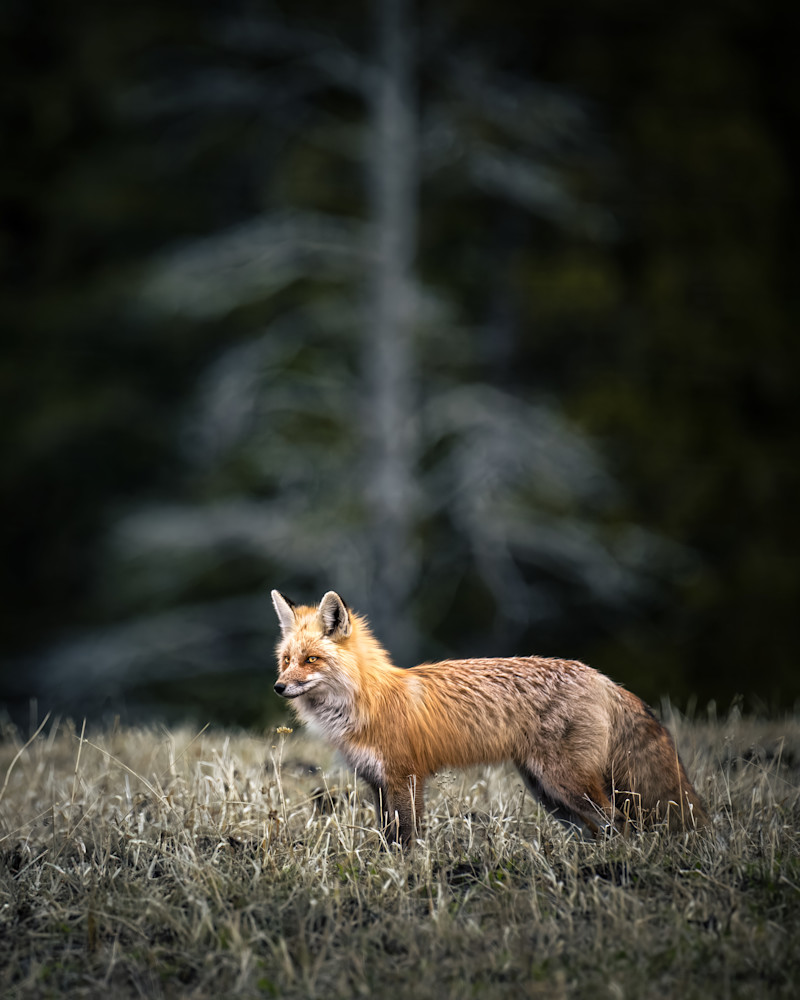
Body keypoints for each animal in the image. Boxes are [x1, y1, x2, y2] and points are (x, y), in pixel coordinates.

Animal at [271, 589, 709, 845]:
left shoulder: (404, 777)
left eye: (312, 660)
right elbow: (388, 835)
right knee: (601, 827)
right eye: (287, 660)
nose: (278, 687)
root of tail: (600, 676)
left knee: (616, 822)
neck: (367, 701)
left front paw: (406, 875)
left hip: (565, 783)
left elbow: (408, 837)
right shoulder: (376, 782)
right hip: (549, 792)